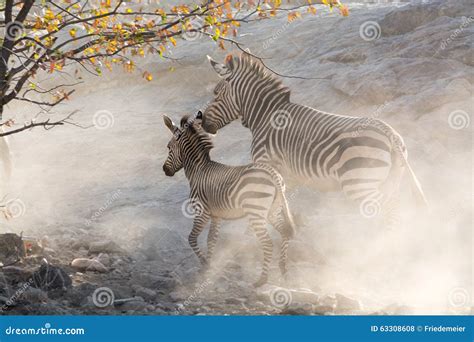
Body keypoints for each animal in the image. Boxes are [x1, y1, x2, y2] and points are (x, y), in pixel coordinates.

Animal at [163, 111, 296, 286]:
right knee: (285, 232)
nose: (164, 170)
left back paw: (262, 279)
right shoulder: (216, 215)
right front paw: (209, 266)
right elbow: (211, 240)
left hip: (256, 213)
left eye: (168, 147)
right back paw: (283, 268)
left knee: (267, 243)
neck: (198, 170)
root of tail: (272, 173)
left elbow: (191, 238)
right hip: (272, 211)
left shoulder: (202, 212)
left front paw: (205, 263)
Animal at [202, 52, 428, 220]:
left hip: (360, 183)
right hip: (391, 180)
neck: (267, 116)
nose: (203, 122)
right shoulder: (287, 177)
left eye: (216, 93)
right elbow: (285, 207)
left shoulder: (268, 165)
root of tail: (388, 133)